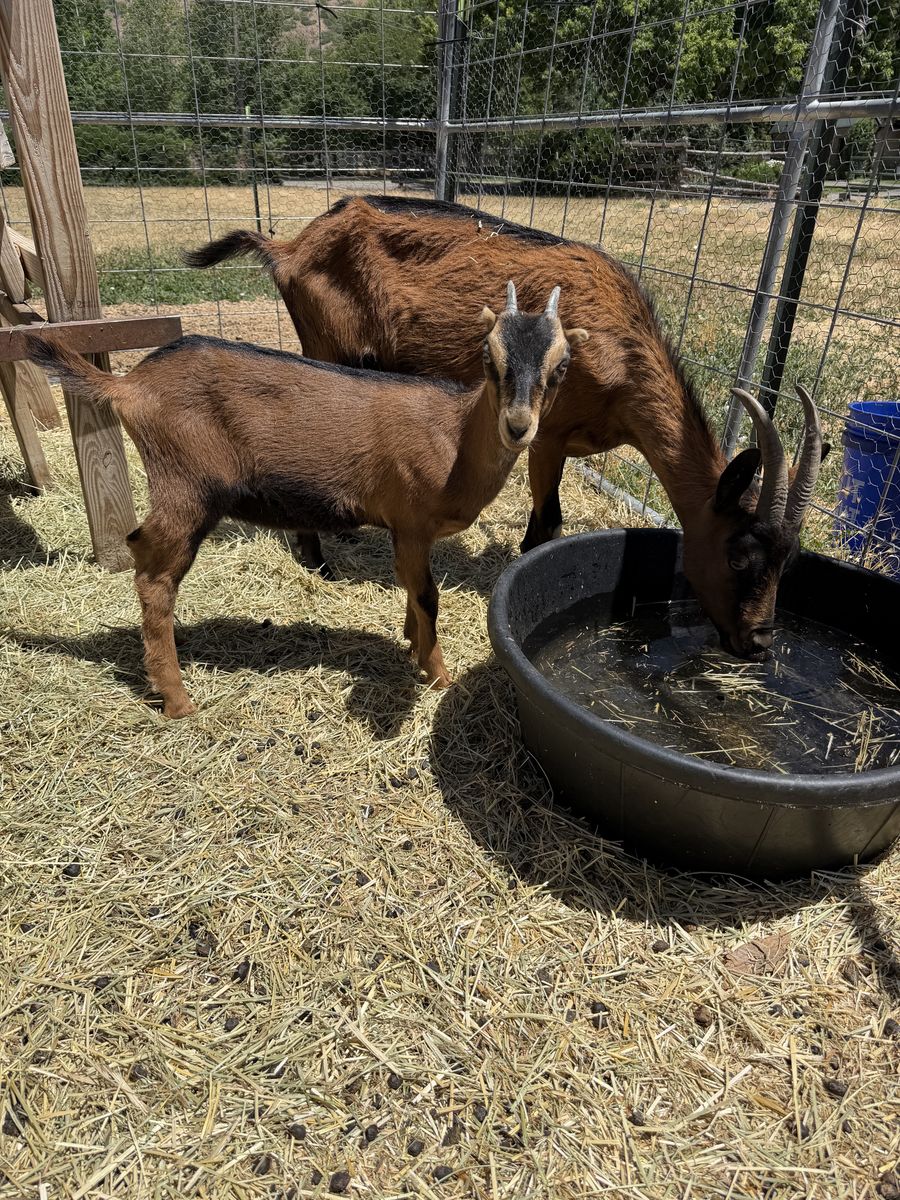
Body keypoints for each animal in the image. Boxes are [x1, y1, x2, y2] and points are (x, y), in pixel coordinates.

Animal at [26, 283, 587, 717]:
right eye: (488, 358)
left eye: (561, 367)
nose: (518, 427)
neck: (454, 436)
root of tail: (128, 384)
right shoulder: (410, 521)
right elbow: (427, 594)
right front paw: (437, 674)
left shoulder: (409, 533)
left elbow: (411, 589)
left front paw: (412, 645)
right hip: (187, 487)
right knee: (154, 573)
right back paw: (178, 699)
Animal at [186, 195, 825, 659]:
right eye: (739, 557)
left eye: (790, 561)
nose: (757, 644)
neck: (621, 351)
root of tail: (289, 245)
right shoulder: (546, 433)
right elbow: (547, 523)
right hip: (323, 343)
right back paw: (317, 561)